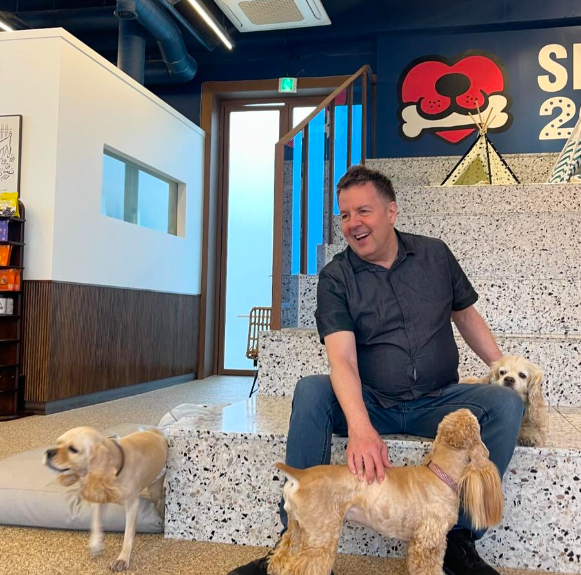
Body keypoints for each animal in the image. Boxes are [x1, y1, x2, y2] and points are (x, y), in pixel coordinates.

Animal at [44, 427, 168, 571]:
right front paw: (95, 544)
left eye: (73, 449)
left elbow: (128, 535)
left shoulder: (132, 506)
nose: (48, 452)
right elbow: (96, 523)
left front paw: (122, 559)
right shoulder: (100, 500)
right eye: (58, 443)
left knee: (160, 497)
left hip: (154, 490)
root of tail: (156, 432)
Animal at [268, 409, 503, 575]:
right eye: (477, 425)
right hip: (320, 537)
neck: (439, 474)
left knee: (280, 560)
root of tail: (299, 475)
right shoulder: (429, 543)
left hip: (297, 530)